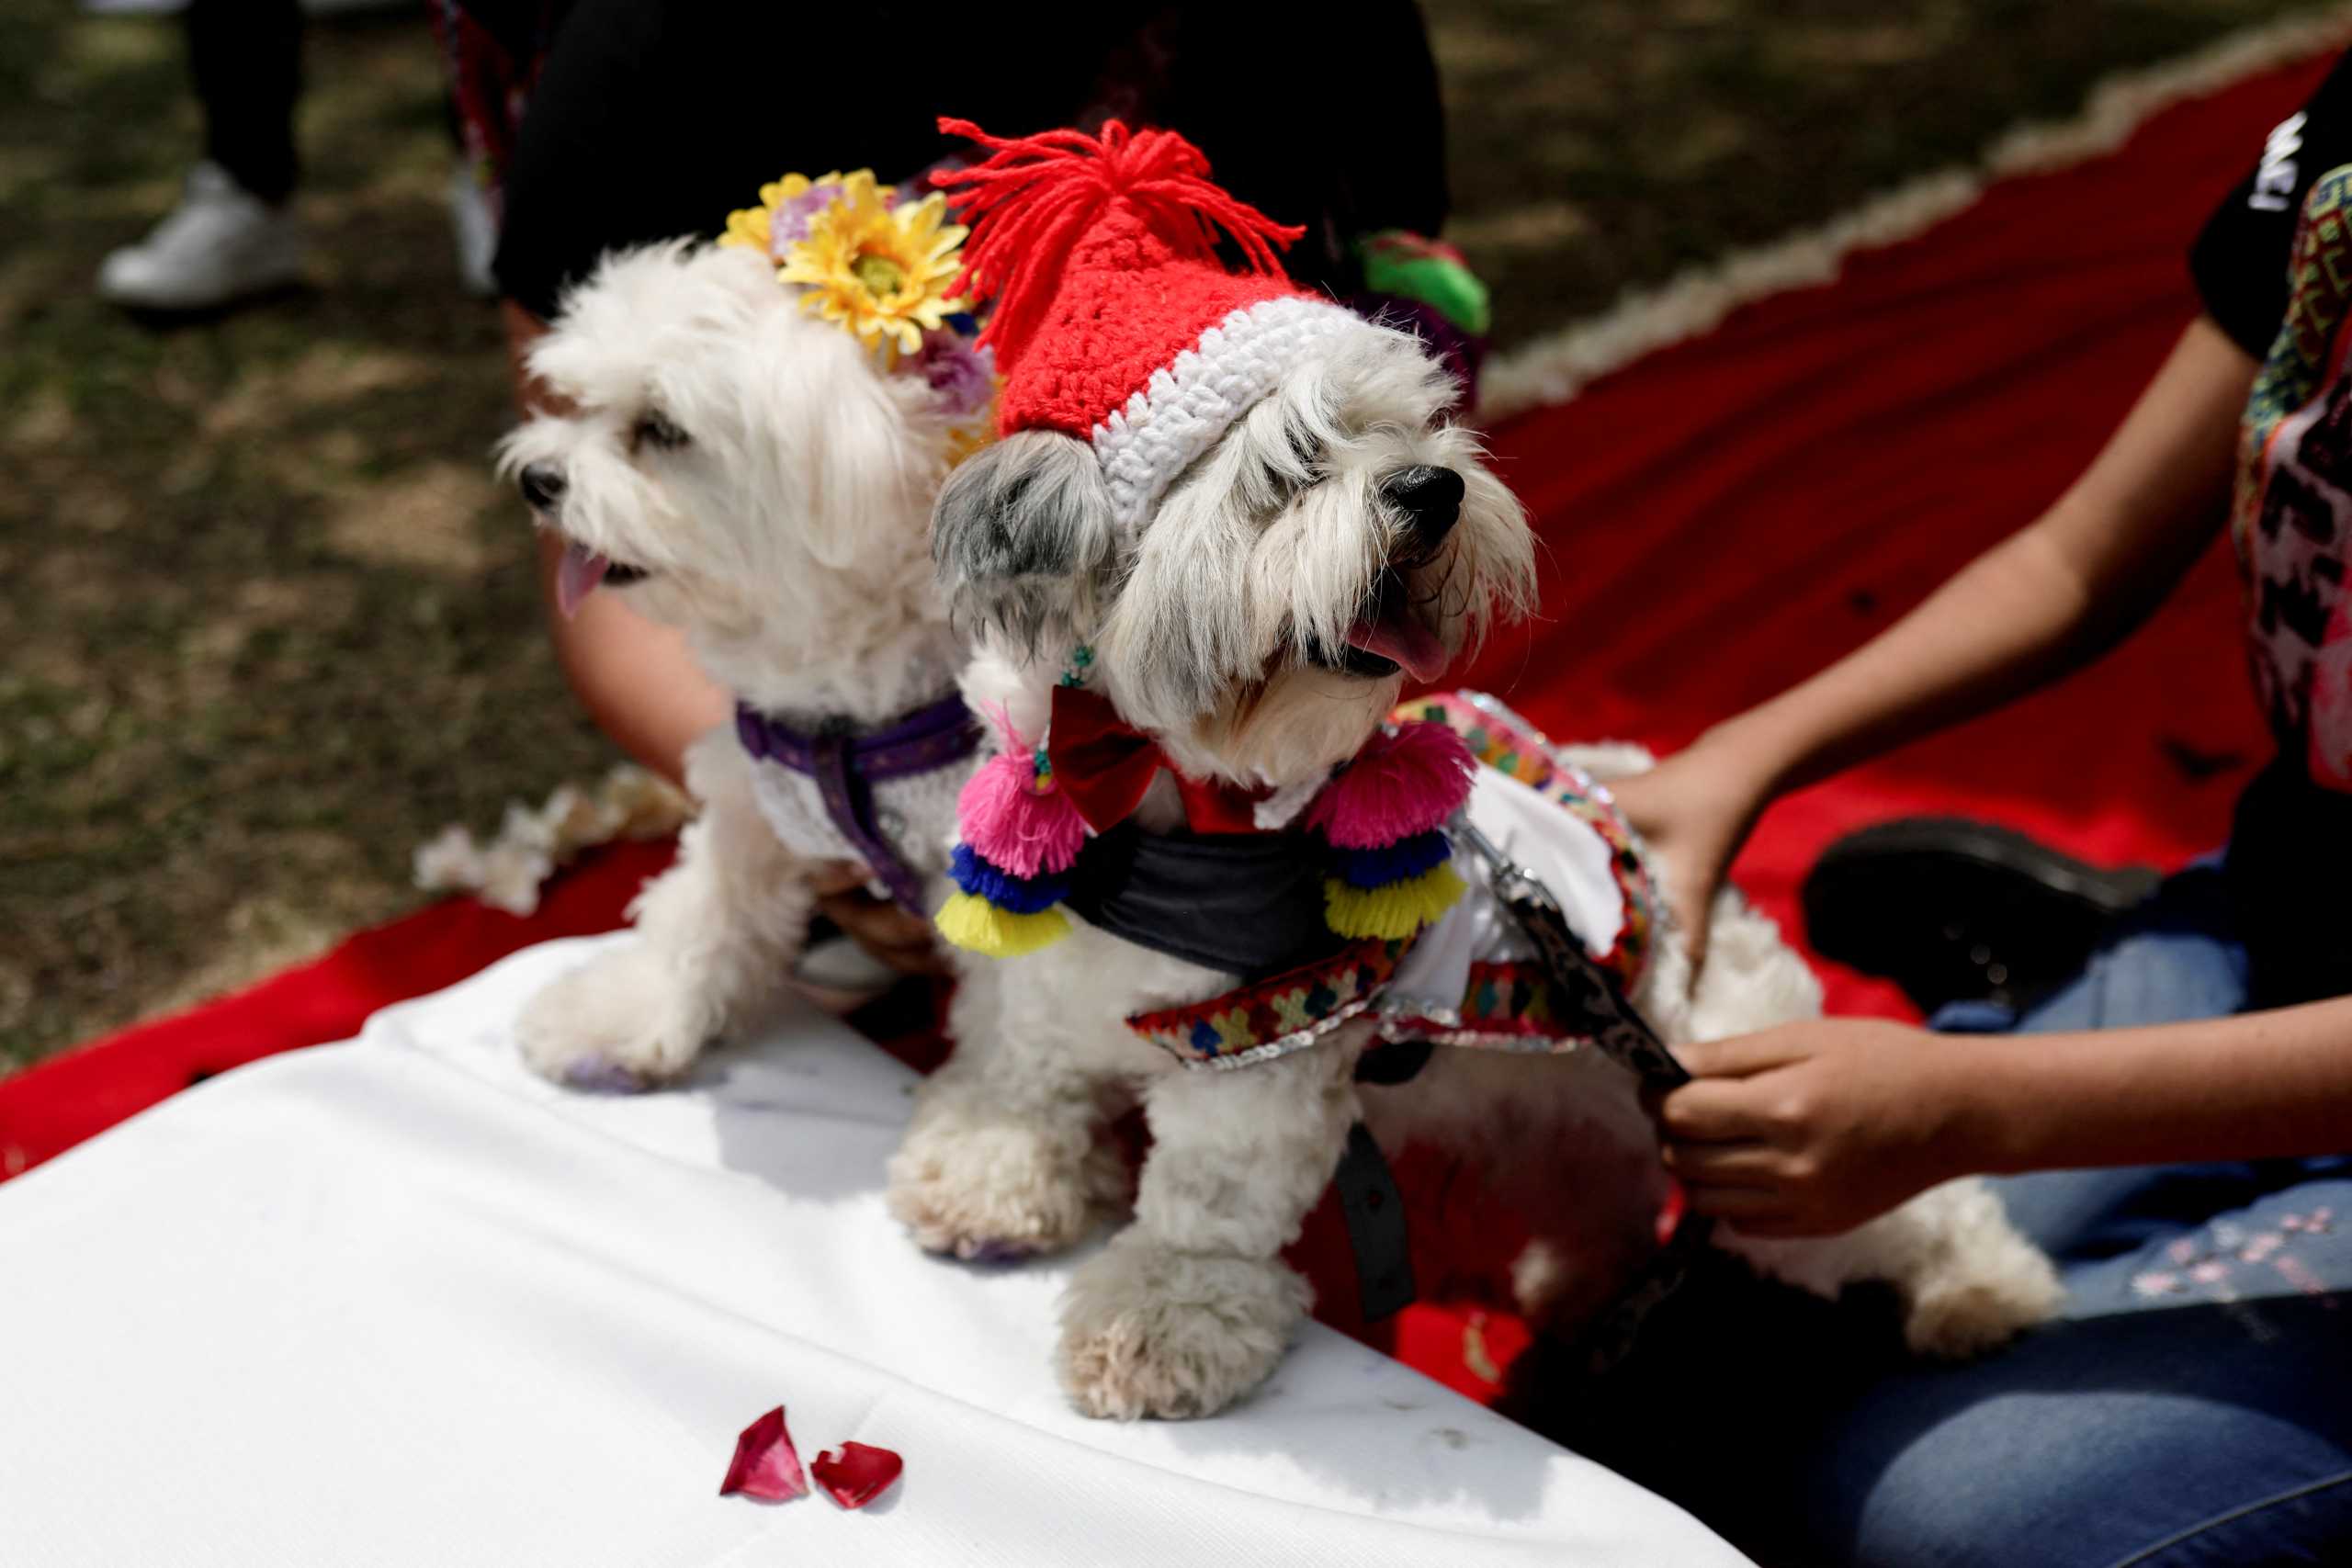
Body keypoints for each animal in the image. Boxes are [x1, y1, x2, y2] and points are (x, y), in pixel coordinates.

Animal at [492, 245, 978, 1090]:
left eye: (662, 428)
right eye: (580, 402)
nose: (538, 479)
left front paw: (987, 1124)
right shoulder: (760, 801)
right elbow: (703, 911)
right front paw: (626, 1009)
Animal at [884, 324, 2060, 1429]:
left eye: (1423, 429)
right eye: (1295, 460)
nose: (1433, 488)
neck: (1150, 799)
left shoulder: (1257, 1044)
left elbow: (1208, 1204)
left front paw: (1161, 1321)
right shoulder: (1029, 978)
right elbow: (1020, 1072)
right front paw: (987, 1174)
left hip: (1747, 1121)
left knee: (1913, 1206)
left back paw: (1983, 1290)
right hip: (1578, 1109)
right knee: (1609, 1193)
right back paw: (1579, 1296)